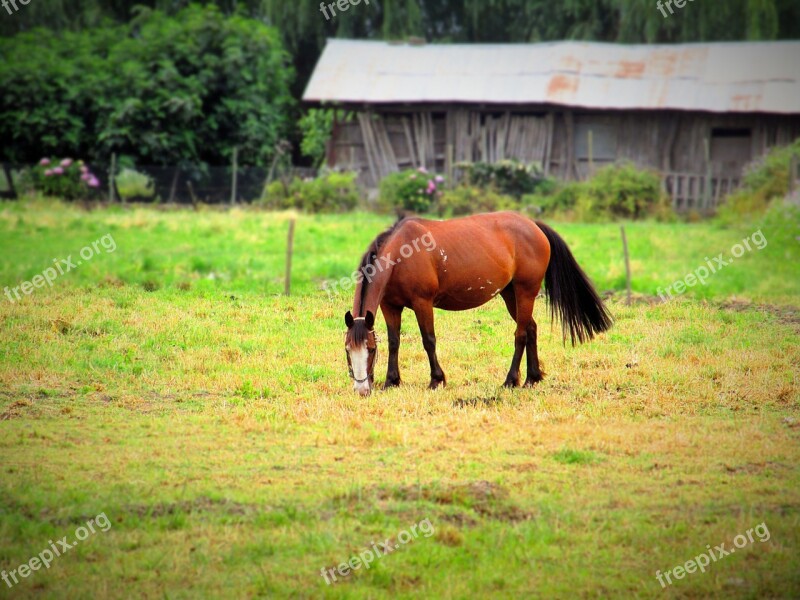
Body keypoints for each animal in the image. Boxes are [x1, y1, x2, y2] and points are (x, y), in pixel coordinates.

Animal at [340, 212, 608, 398]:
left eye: (370, 350)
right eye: (347, 350)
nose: (362, 390)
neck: (400, 256)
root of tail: (533, 225)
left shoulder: (422, 303)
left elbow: (428, 340)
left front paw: (436, 380)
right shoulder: (390, 306)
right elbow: (394, 342)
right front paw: (391, 381)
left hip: (525, 291)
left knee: (521, 334)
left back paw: (511, 380)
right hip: (511, 295)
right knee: (531, 328)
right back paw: (532, 378)